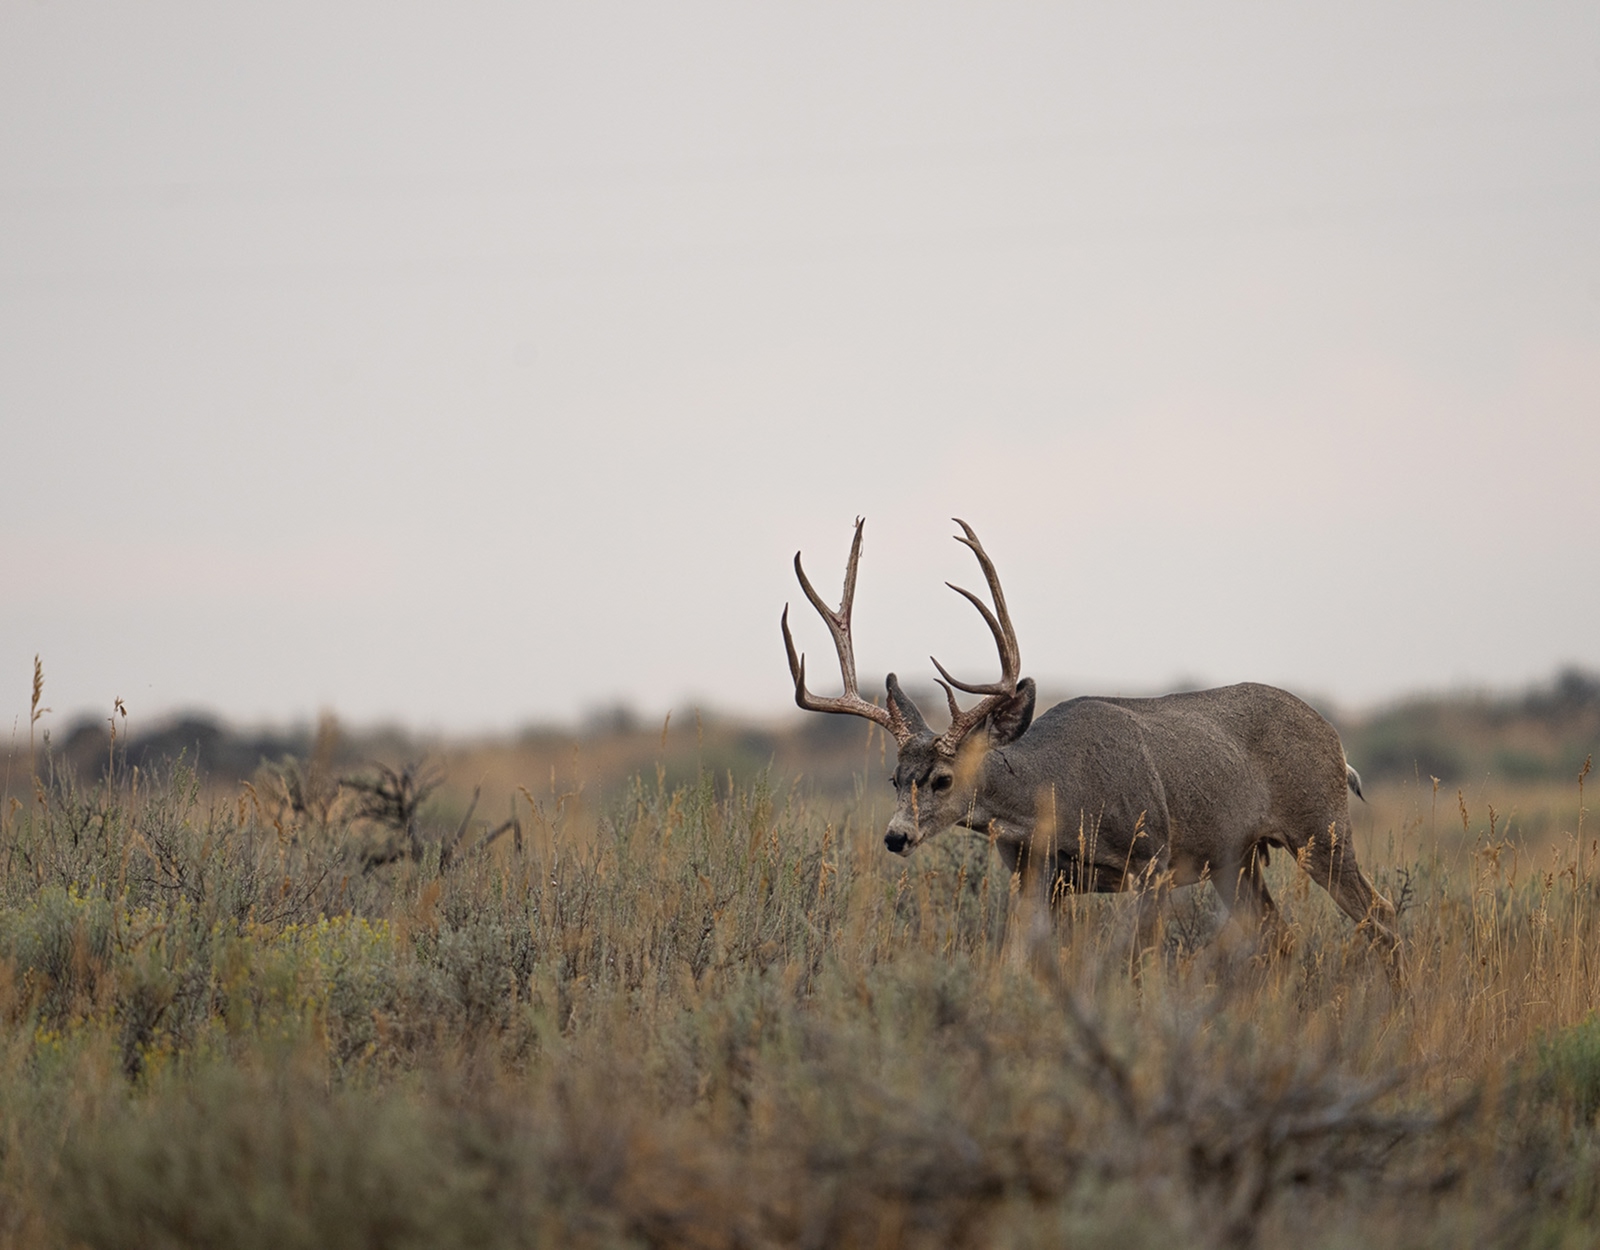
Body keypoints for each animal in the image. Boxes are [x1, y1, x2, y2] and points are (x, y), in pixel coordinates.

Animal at [780, 517, 1401, 969]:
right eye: (894, 778)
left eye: (942, 778)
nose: (896, 837)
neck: (1057, 794)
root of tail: (1336, 742)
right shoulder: (1036, 876)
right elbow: (1023, 958)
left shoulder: (1153, 859)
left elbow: (1131, 959)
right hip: (1239, 856)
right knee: (1279, 931)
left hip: (1320, 828)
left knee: (1381, 913)